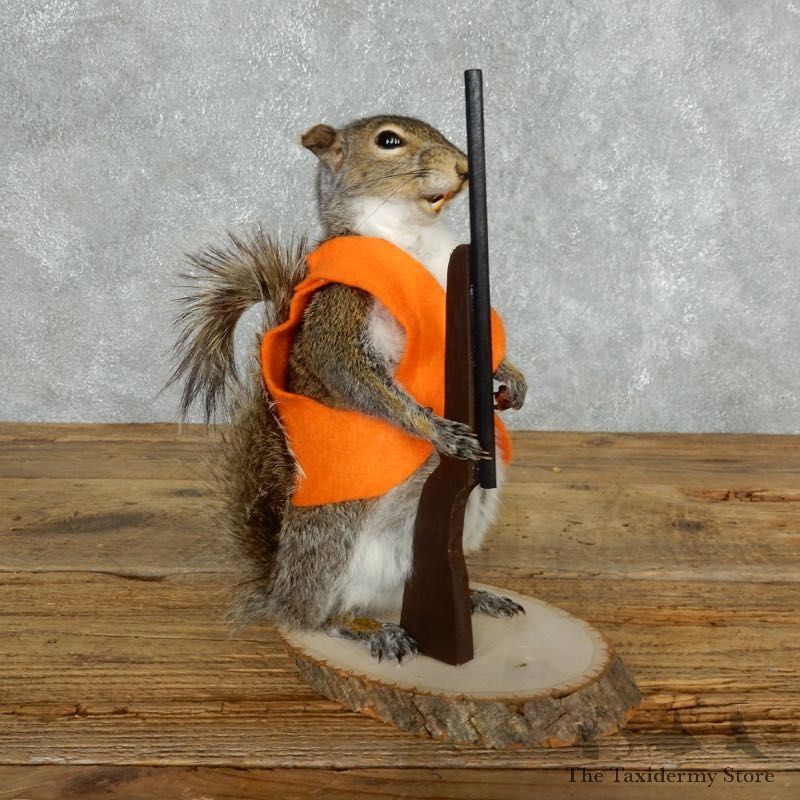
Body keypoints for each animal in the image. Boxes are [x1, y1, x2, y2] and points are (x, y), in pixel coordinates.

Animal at [170, 115, 528, 662]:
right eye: (389, 141)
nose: (466, 168)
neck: (412, 237)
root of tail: (277, 585)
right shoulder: (339, 313)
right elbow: (352, 375)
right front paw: (440, 431)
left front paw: (512, 380)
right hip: (334, 536)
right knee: (311, 617)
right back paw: (369, 630)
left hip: (473, 514)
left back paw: (474, 597)